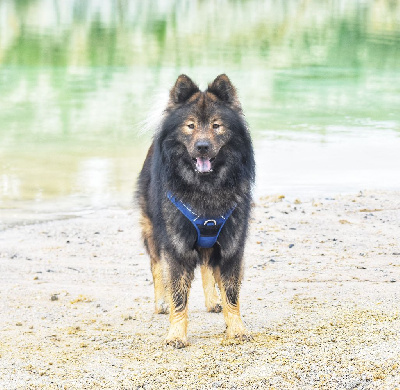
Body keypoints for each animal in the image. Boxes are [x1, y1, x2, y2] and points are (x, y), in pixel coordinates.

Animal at [138, 74, 255, 348]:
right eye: (190, 126)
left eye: (216, 125)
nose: (202, 146)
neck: (206, 188)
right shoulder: (177, 247)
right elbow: (179, 296)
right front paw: (176, 334)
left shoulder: (231, 245)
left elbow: (231, 292)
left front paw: (236, 328)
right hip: (153, 230)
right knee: (156, 266)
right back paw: (161, 302)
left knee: (207, 267)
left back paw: (213, 301)